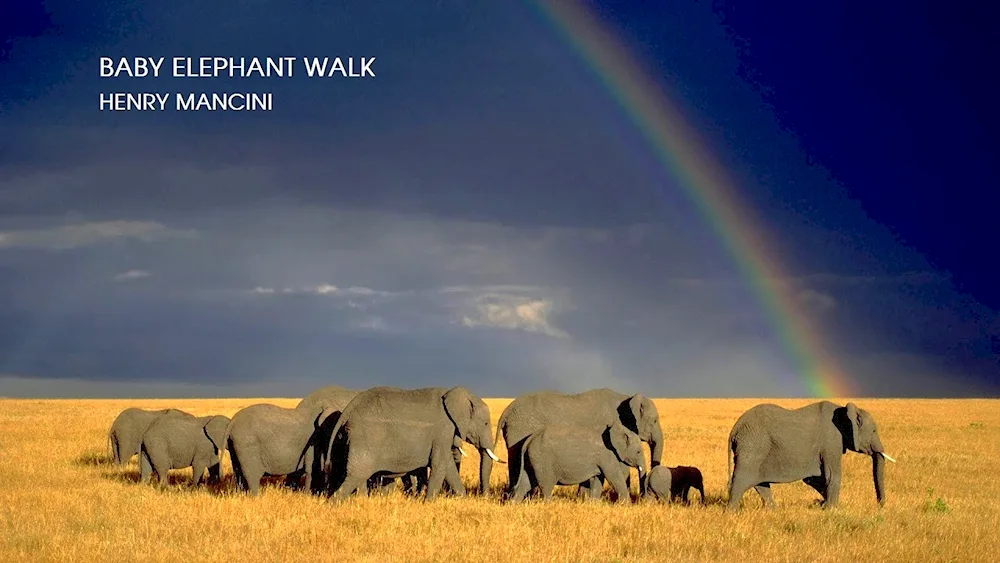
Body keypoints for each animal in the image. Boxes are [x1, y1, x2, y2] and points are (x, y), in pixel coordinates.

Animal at [326, 386, 500, 500]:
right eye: (485, 423)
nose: (484, 498)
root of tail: (349, 408)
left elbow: (448, 466)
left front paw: (462, 499)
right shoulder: (443, 431)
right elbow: (440, 464)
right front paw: (428, 503)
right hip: (366, 437)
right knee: (356, 474)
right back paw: (334, 503)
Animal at [508, 420, 648, 504]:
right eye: (638, 452)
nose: (641, 501)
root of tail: (530, 438)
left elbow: (598, 479)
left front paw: (593, 504)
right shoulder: (606, 455)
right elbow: (614, 477)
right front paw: (628, 506)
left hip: (533, 459)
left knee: (526, 482)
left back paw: (514, 505)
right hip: (543, 459)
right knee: (546, 484)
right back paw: (549, 505)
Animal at [724, 398, 896, 512]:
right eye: (874, 431)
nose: (880, 506)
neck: (844, 410)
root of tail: (735, 428)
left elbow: (814, 479)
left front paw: (821, 504)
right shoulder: (831, 441)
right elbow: (832, 476)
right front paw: (832, 510)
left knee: (760, 483)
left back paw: (774, 511)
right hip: (753, 444)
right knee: (742, 478)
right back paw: (732, 513)